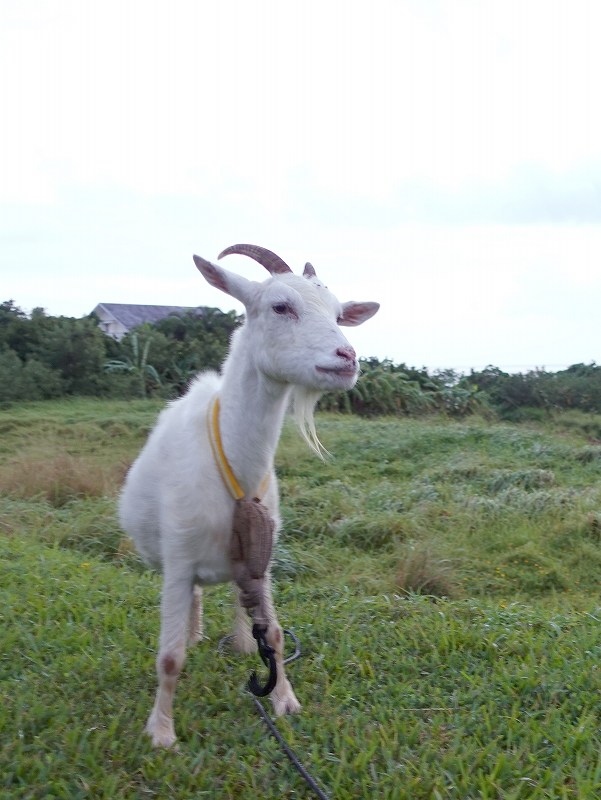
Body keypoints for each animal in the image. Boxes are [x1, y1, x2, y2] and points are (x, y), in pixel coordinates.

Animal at [119, 245, 378, 752]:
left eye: (339, 313)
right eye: (280, 306)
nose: (347, 358)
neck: (234, 466)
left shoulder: (263, 554)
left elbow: (273, 635)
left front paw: (284, 700)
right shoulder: (178, 560)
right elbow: (169, 657)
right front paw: (161, 732)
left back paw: (238, 642)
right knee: (197, 600)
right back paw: (196, 633)